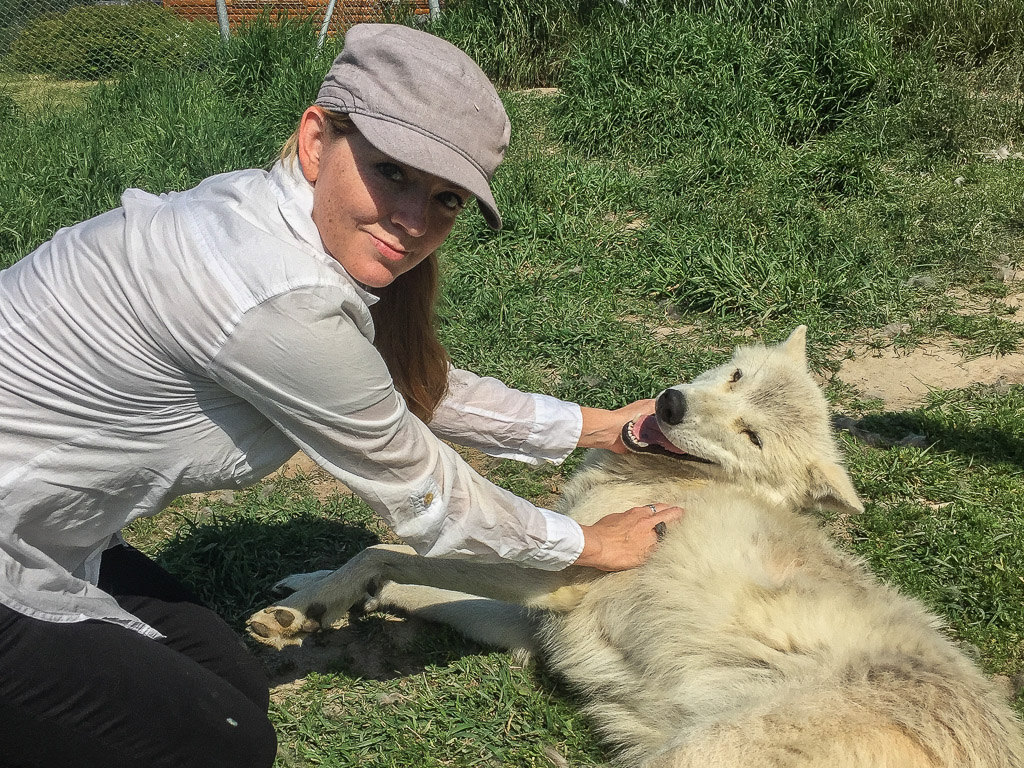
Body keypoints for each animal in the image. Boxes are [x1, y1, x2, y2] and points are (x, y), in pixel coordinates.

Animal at [247, 327, 1024, 765]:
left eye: (751, 436)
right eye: (735, 379)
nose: (671, 405)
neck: (673, 482)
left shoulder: (554, 580)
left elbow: (392, 551)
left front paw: (315, 602)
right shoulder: (533, 624)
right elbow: (415, 582)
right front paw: (312, 597)